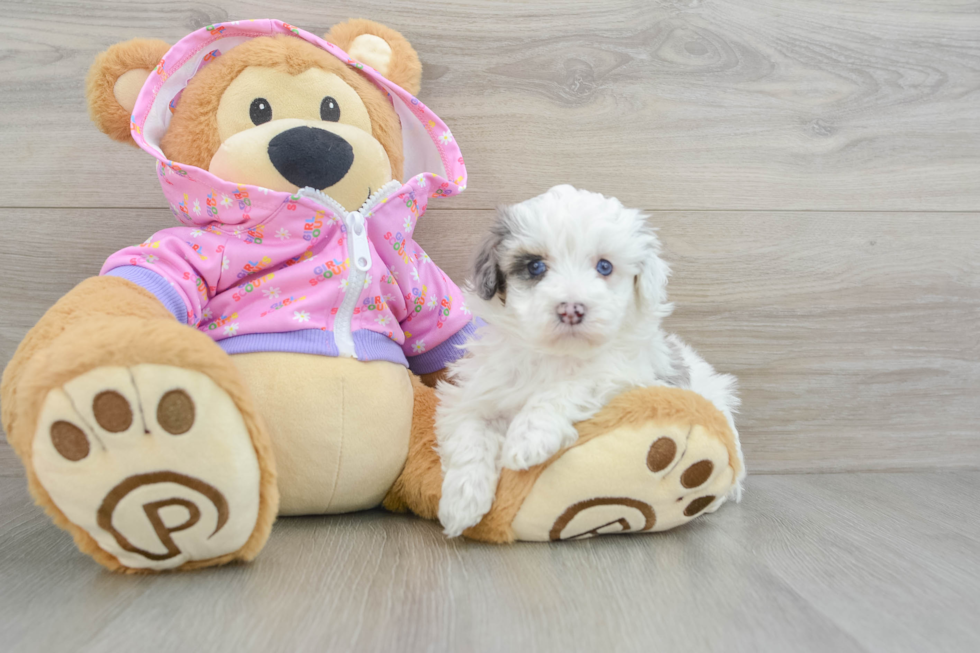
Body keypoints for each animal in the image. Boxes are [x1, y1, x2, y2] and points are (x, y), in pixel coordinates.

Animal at [436, 186, 744, 536]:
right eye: (535, 267)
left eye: (605, 267)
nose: (571, 309)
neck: (558, 354)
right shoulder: (477, 391)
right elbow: (469, 431)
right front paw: (461, 502)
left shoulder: (627, 374)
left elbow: (571, 386)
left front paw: (529, 437)